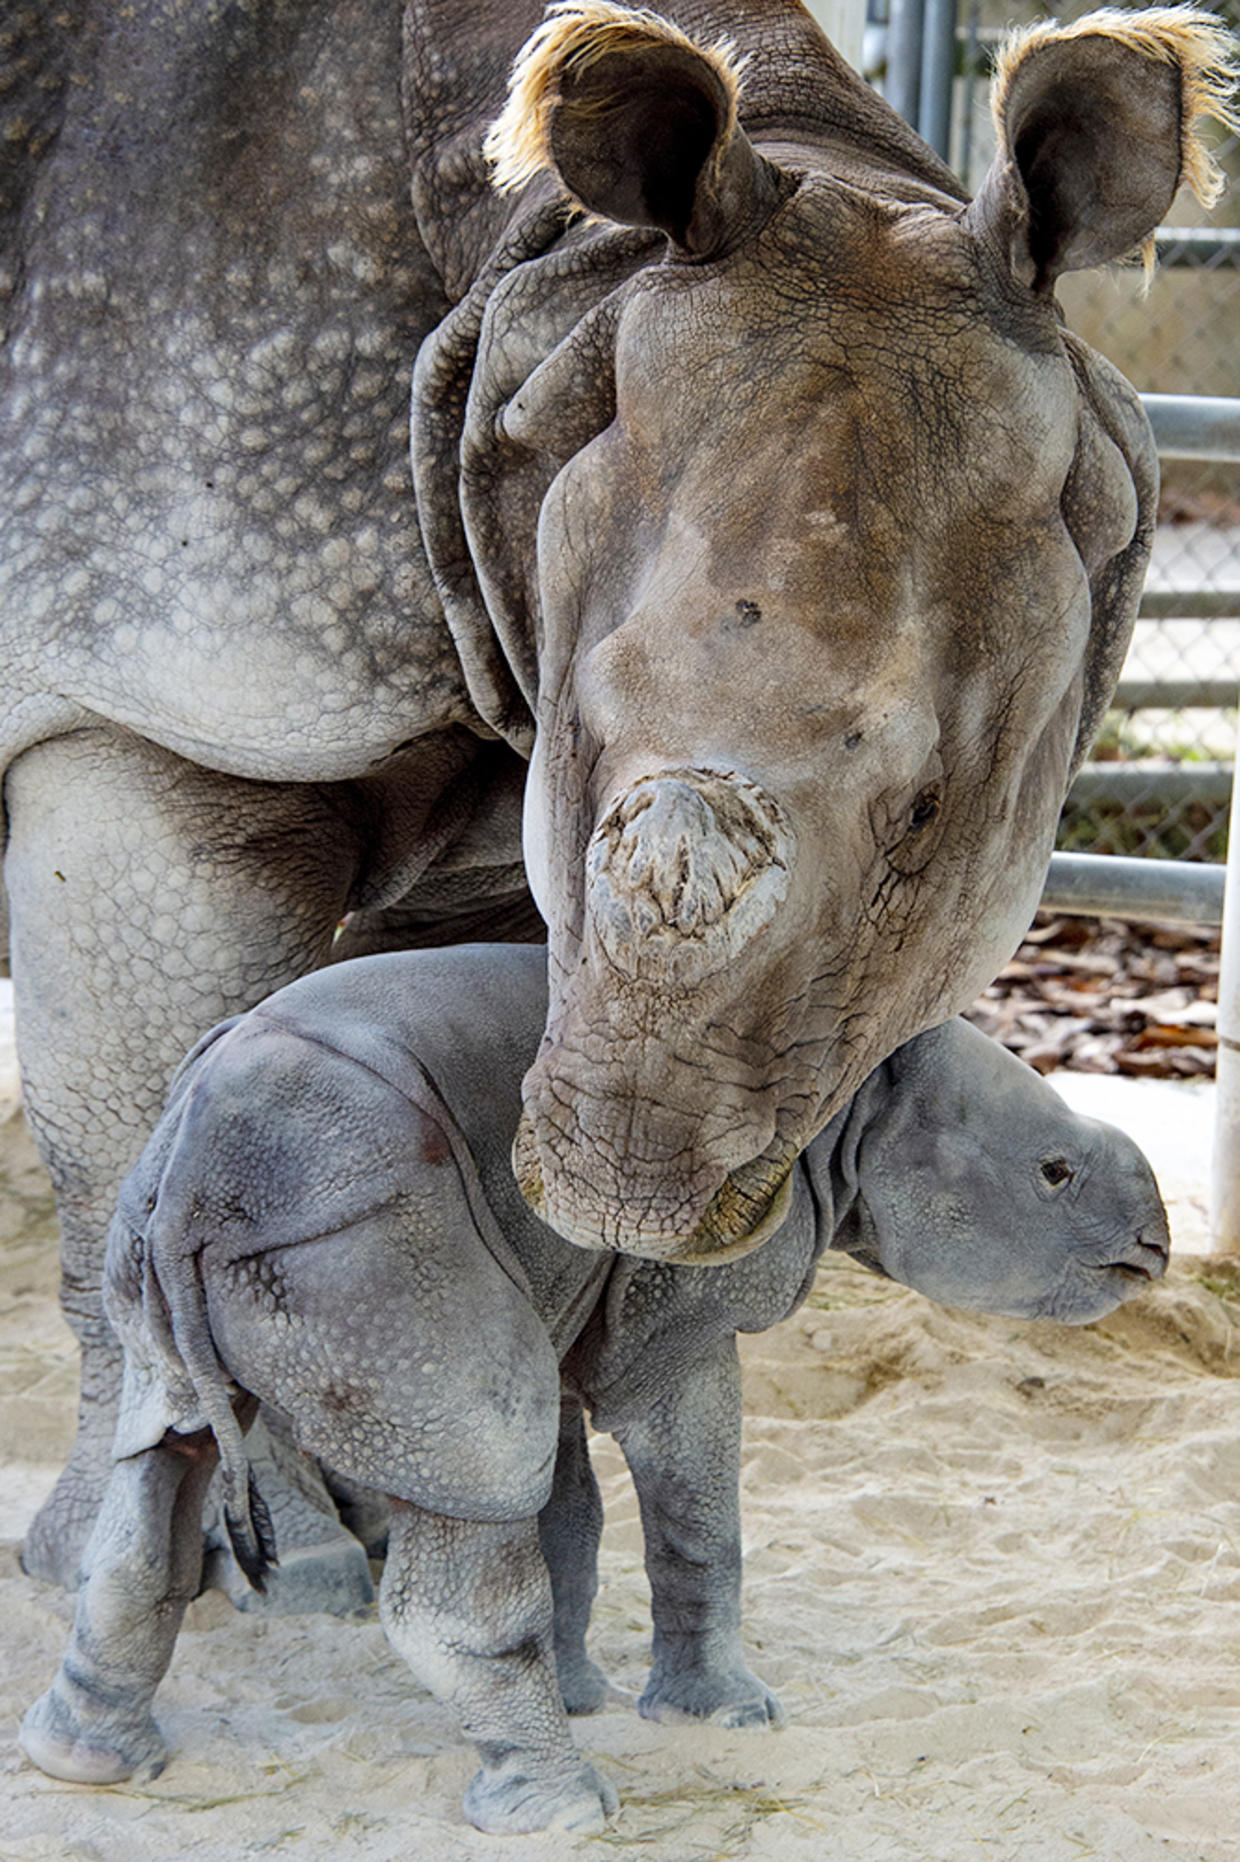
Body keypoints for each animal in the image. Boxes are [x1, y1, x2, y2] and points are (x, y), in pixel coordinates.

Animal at [21, 945, 1169, 1832]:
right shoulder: (679, 1298)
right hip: (366, 1222)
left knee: (168, 1448)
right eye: (1054, 1173)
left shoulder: (562, 1275)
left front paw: (584, 1696)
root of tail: (204, 1164)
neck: (856, 1108)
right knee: (473, 1465)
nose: (1154, 1247)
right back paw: (569, 1815)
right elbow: (692, 1506)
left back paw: (84, 1764)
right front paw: (727, 1719)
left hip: (187, 1209)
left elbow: (565, 1506)